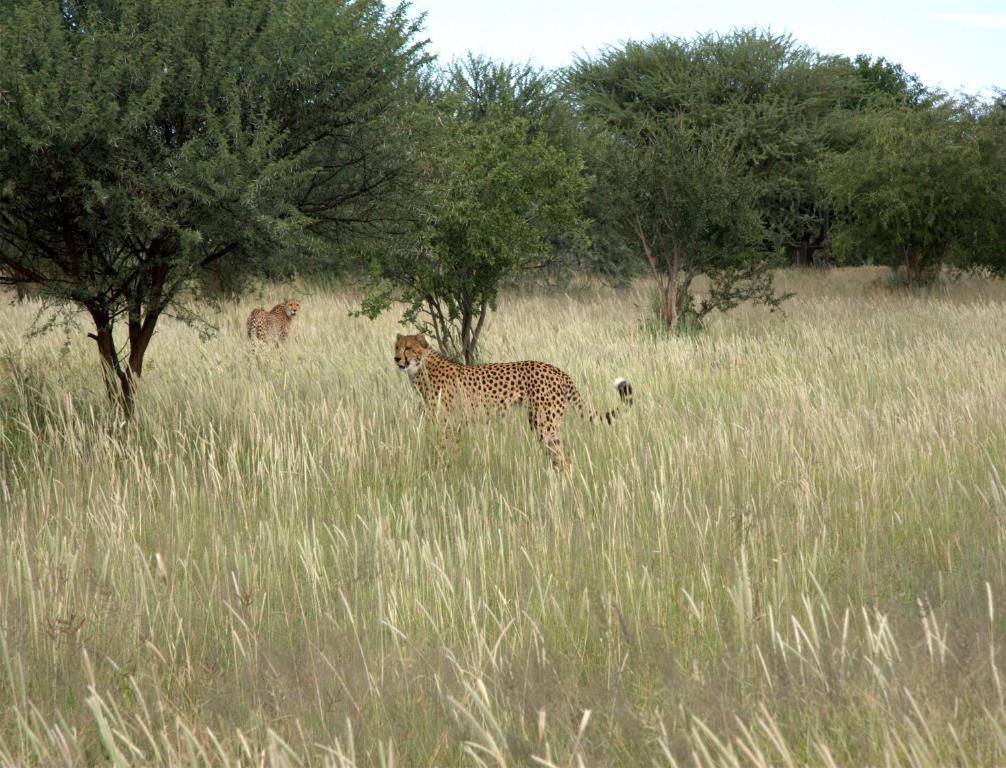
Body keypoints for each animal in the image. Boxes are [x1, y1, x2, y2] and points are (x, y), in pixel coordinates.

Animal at [390, 334, 631, 469]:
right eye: (396, 347)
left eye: (408, 347)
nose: (397, 358)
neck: (421, 367)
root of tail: (558, 371)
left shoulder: (450, 423)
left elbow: (444, 450)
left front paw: (442, 473)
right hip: (540, 422)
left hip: (545, 424)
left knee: (564, 458)